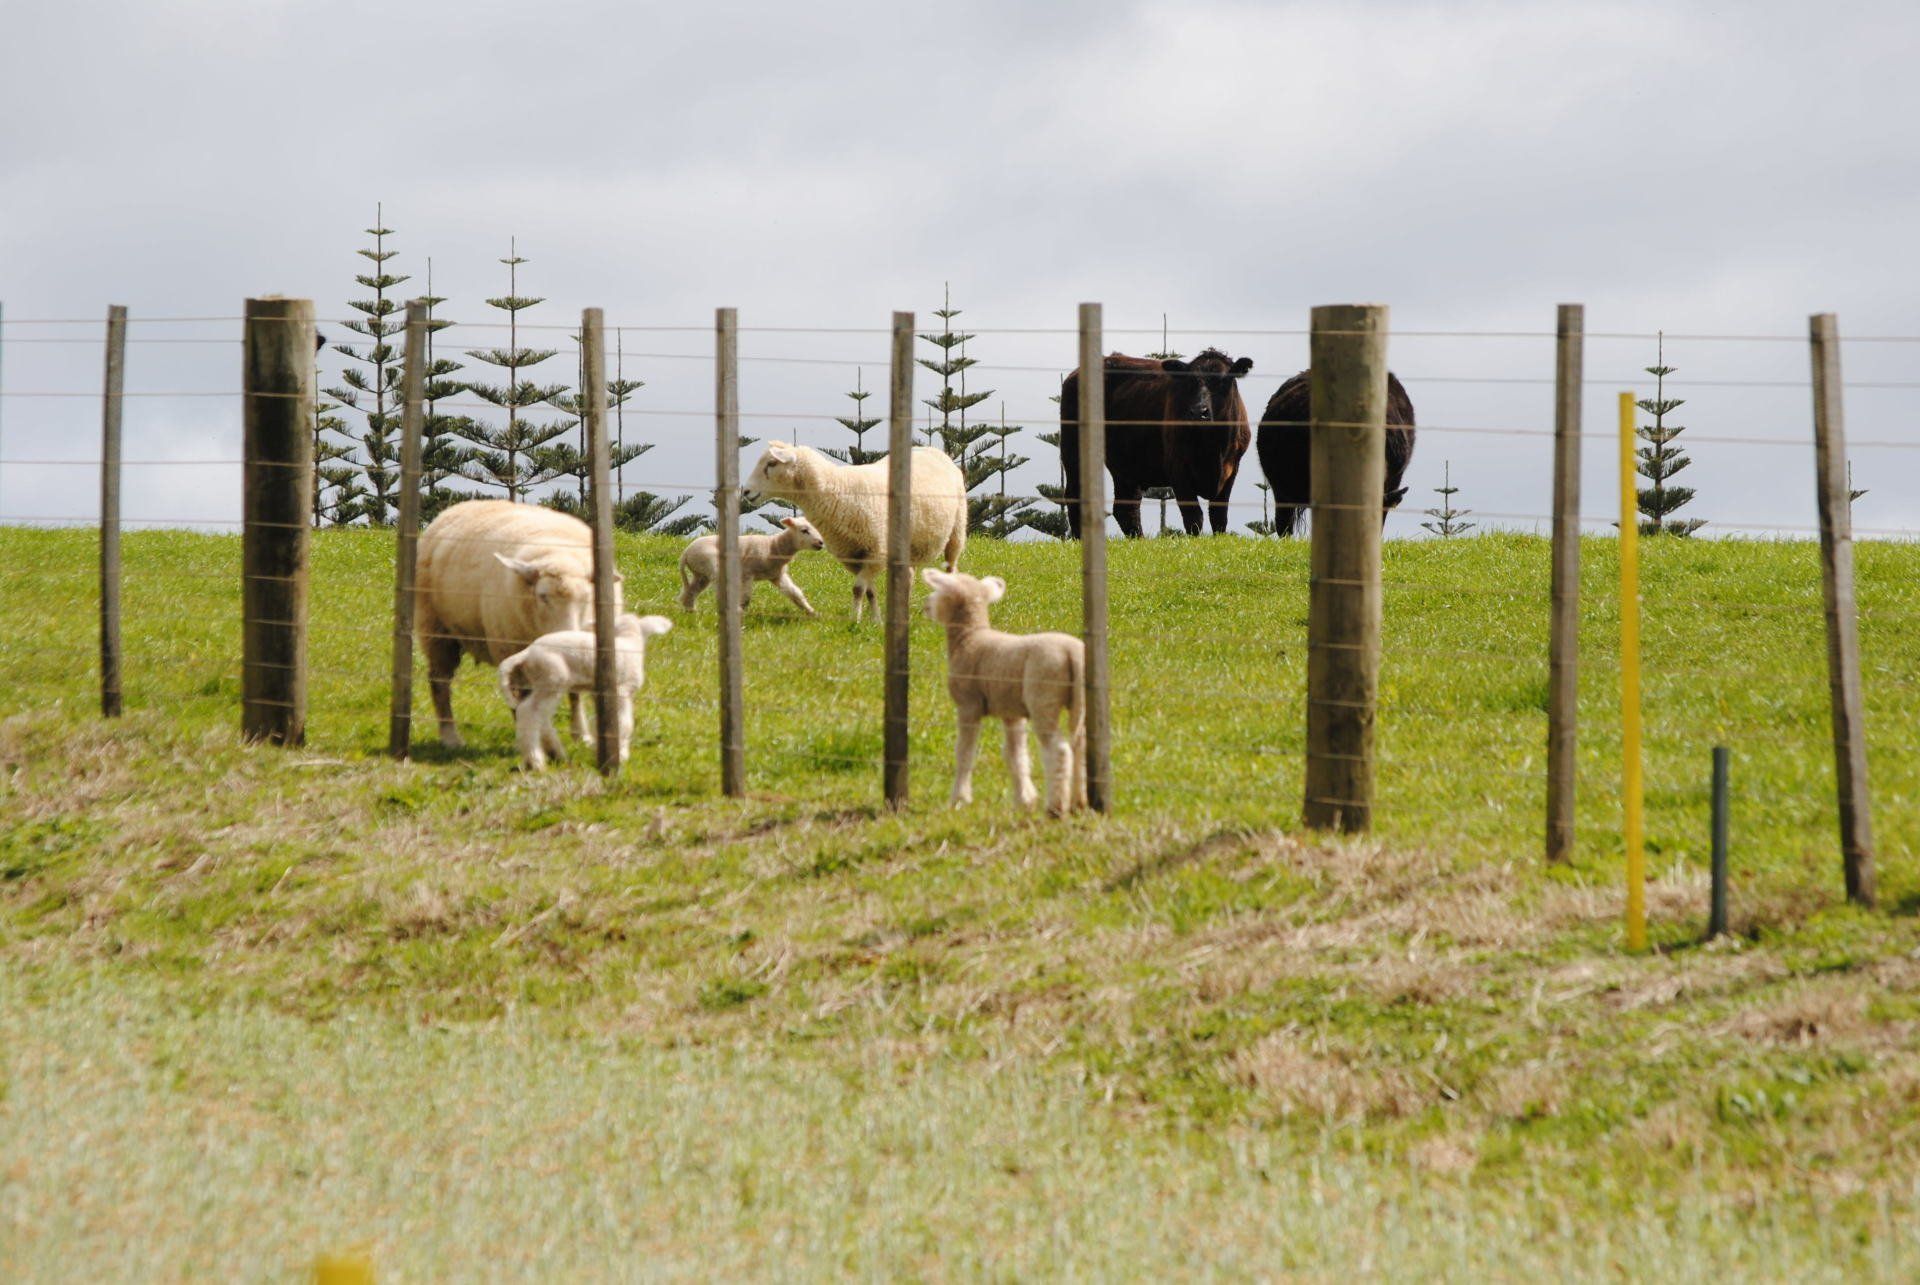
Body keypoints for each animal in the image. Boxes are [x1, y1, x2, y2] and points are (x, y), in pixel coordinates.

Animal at [415, 499, 622, 748]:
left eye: (587, 597)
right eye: (542, 596)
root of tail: (459, 506)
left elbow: (574, 693)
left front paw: (581, 735)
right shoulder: (509, 647)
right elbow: (521, 697)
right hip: (436, 629)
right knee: (439, 681)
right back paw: (450, 736)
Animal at [497, 613, 673, 769]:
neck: (628, 640)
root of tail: (527, 653)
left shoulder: (599, 692)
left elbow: (602, 720)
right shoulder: (622, 689)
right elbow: (624, 722)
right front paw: (621, 754)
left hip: (532, 683)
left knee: (539, 717)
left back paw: (555, 753)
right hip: (551, 679)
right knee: (529, 712)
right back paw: (535, 760)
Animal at [678, 516, 828, 616]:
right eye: (804, 530)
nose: (820, 543)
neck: (774, 546)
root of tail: (686, 553)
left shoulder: (777, 575)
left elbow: (795, 593)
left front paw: (812, 612)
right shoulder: (747, 572)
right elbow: (746, 597)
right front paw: (742, 612)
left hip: (701, 574)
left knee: (690, 592)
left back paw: (691, 610)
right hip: (710, 564)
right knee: (719, 589)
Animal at [743, 442, 967, 621]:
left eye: (771, 463)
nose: (745, 491)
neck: (839, 489)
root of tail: (931, 449)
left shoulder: (877, 551)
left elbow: (858, 589)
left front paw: (855, 621)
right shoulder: (853, 556)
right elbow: (869, 591)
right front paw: (875, 620)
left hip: (957, 530)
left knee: (951, 568)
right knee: (907, 576)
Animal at [922, 569, 1087, 816]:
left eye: (939, 590)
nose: (925, 605)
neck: (970, 637)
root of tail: (1071, 652)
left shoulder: (968, 705)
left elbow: (965, 752)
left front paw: (959, 798)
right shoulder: (1011, 712)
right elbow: (1015, 756)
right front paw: (1024, 800)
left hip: (1043, 697)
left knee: (1059, 749)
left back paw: (1055, 807)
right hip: (1081, 700)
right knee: (1080, 745)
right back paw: (1078, 802)